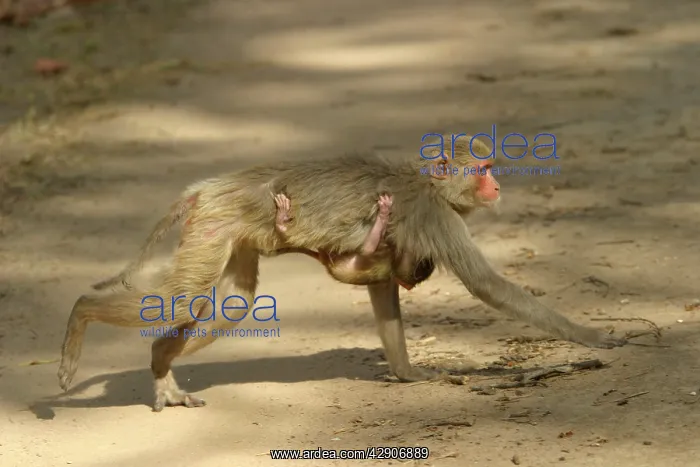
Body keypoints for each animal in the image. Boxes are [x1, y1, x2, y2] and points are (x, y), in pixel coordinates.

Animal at [59, 135, 627, 412]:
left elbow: (382, 288)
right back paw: (80, 315)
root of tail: (213, 185)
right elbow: (489, 287)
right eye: (484, 171)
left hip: (225, 231)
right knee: (183, 297)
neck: (432, 186)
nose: (497, 186)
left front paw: (408, 373)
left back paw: (160, 361)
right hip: (217, 221)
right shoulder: (436, 217)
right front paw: (592, 336)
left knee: (235, 300)